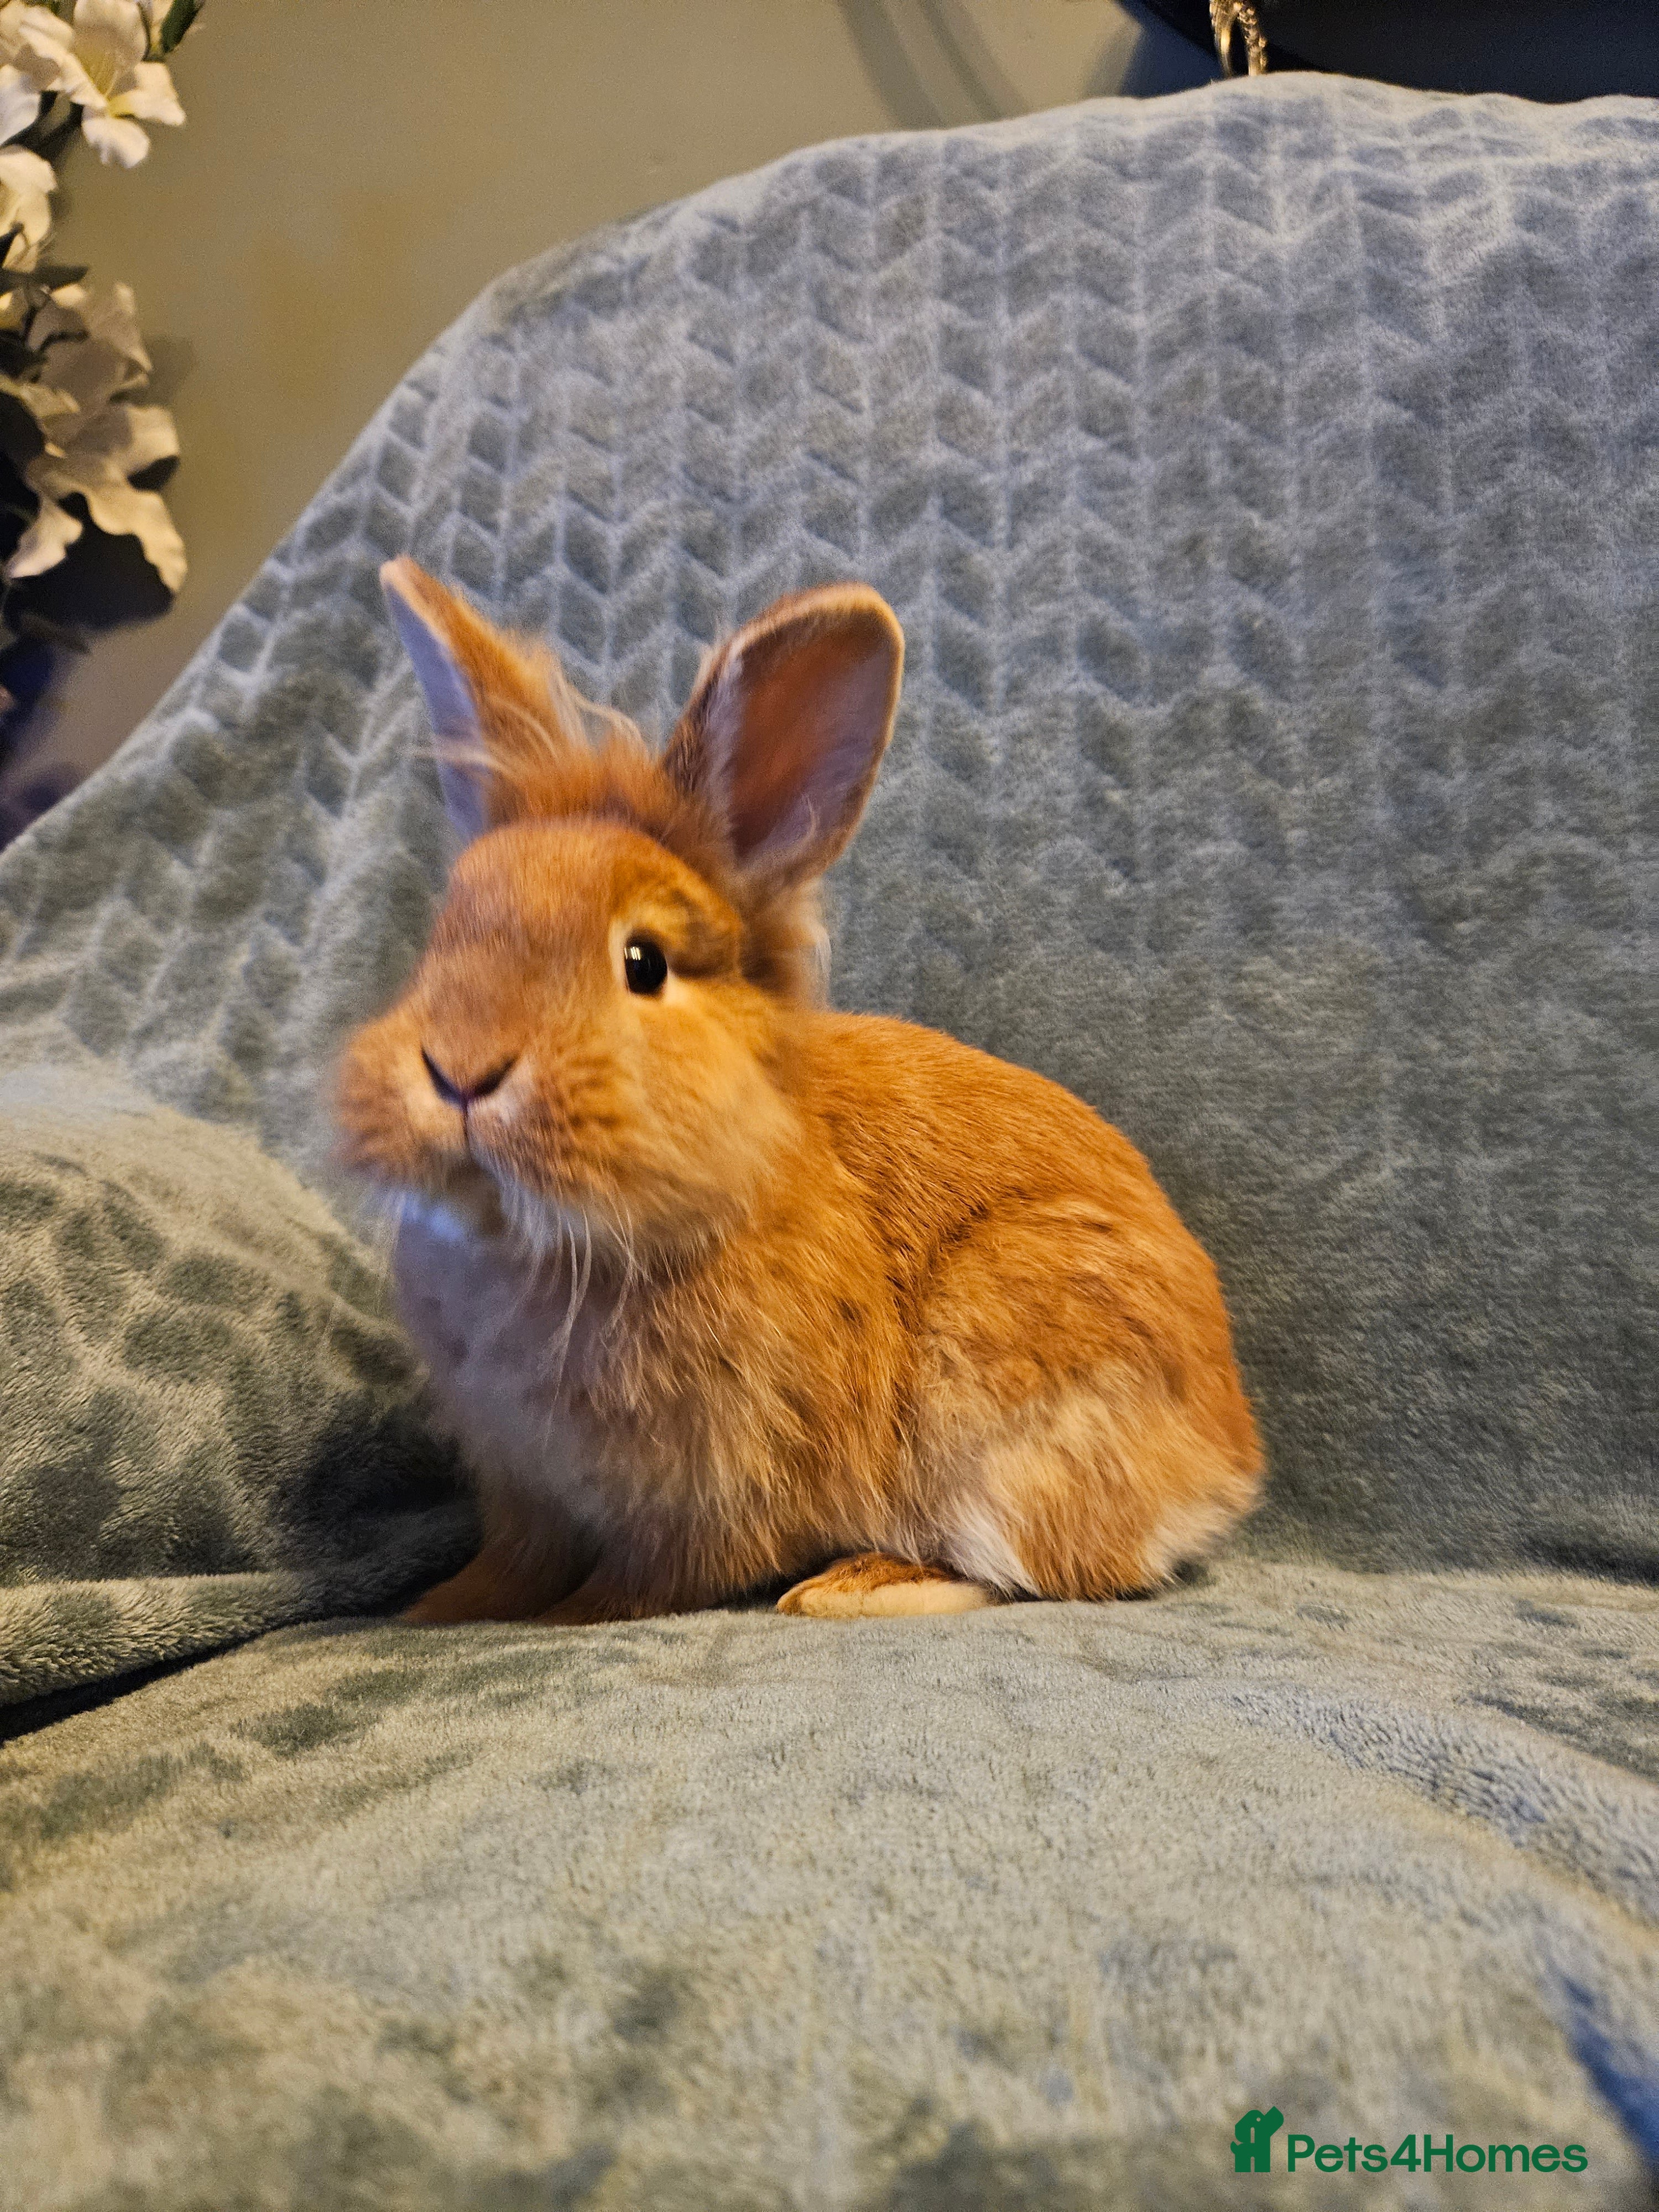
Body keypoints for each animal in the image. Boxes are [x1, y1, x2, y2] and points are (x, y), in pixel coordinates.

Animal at [335, 558, 1263, 1624]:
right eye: (443, 935)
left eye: (643, 963)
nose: (460, 1071)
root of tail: (1228, 1457)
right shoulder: (525, 1491)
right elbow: (510, 1562)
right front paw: (437, 1610)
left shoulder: (710, 1496)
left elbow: (639, 1584)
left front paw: (565, 1618)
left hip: (1002, 1399)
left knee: (1041, 1566)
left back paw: (853, 1590)